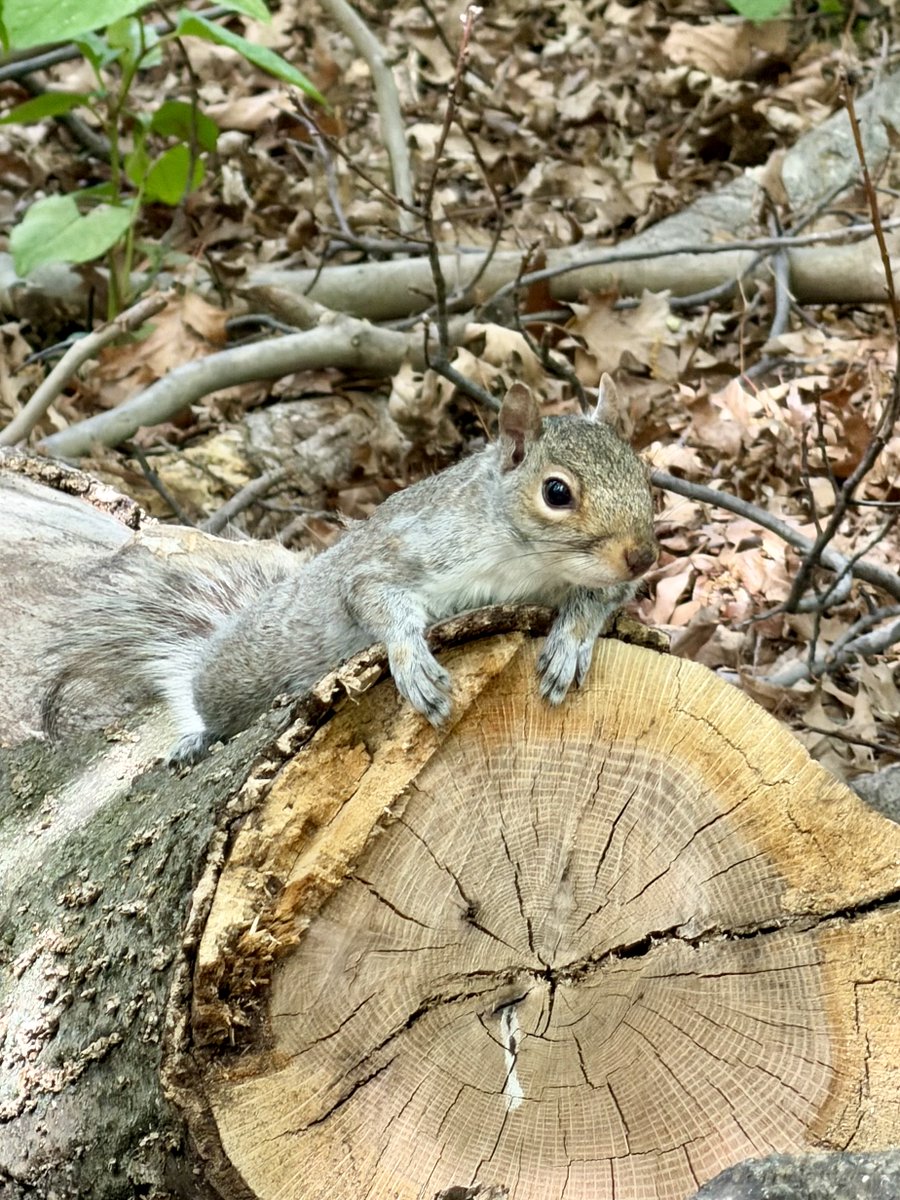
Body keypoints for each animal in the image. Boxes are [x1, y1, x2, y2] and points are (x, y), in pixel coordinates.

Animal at [43, 379, 658, 764]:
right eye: (556, 492)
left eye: (645, 474)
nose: (644, 555)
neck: (527, 562)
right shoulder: (409, 549)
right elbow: (370, 595)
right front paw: (412, 661)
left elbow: (599, 598)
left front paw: (569, 641)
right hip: (236, 680)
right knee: (207, 705)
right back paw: (196, 739)